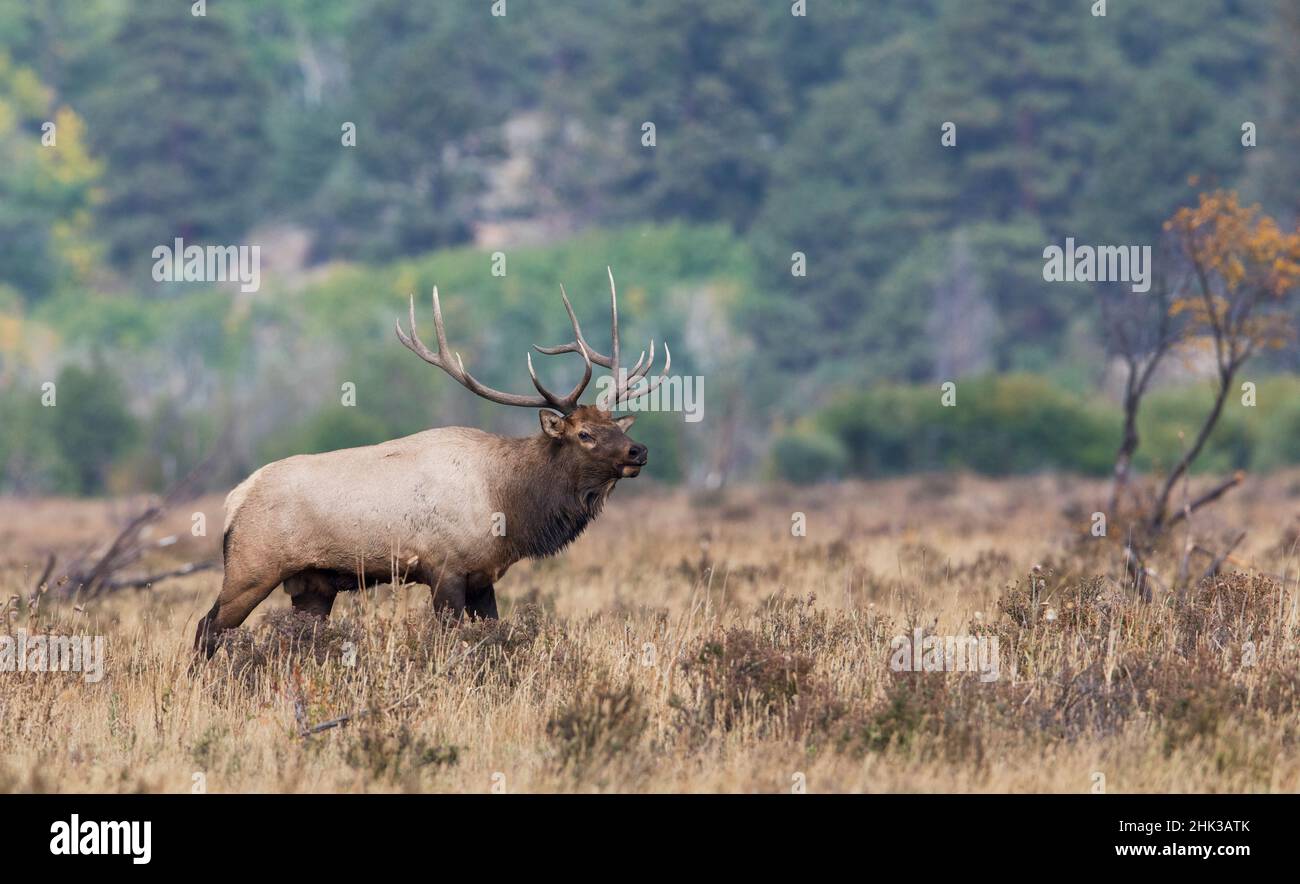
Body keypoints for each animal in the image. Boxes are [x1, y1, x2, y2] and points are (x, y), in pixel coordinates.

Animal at [194, 270, 669, 656]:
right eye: (584, 434)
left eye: (615, 426)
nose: (639, 451)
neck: (507, 504)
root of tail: (235, 500)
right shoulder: (444, 568)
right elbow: (449, 641)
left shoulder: (483, 576)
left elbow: (493, 634)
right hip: (251, 567)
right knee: (207, 627)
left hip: (312, 584)